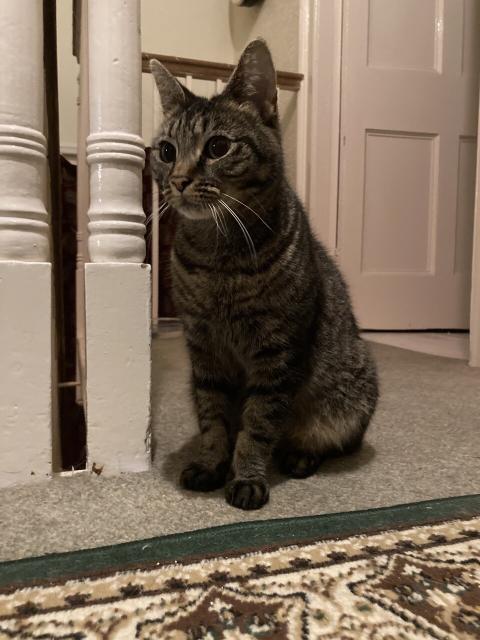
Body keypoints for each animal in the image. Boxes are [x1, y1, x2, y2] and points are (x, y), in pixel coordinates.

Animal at [151, 40, 378, 510]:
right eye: (165, 151)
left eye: (217, 147)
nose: (178, 180)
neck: (218, 258)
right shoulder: (203, 349)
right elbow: (214, 419)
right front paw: (212, 464)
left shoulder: (277, 352)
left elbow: (257, 425)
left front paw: (247, 476)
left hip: (349, 391)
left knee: (326, 440)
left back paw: (299, 455)